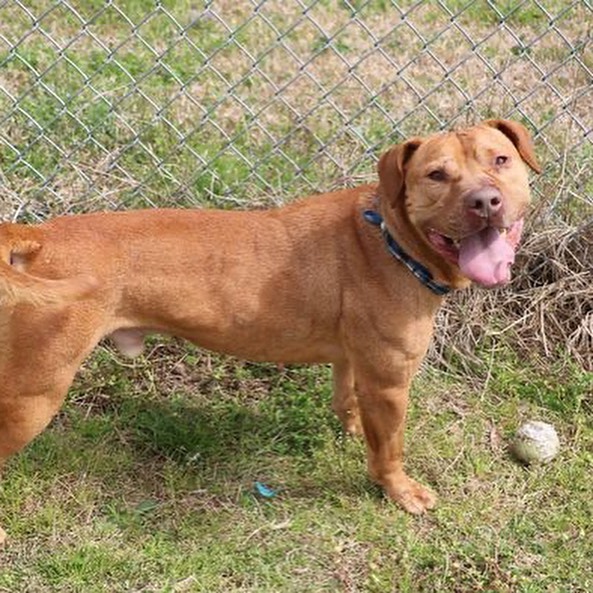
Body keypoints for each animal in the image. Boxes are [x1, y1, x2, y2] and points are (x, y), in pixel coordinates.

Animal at [0, 118, 536, 540]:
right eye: (436, 175)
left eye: (501, 159)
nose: (485, 201)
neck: (389, 238)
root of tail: (40, 238)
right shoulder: (389, 382)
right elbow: (390, 448)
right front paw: (398, 491)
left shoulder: (354, 363)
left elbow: (348, 403)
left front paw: (353, 431)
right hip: (34, 396)